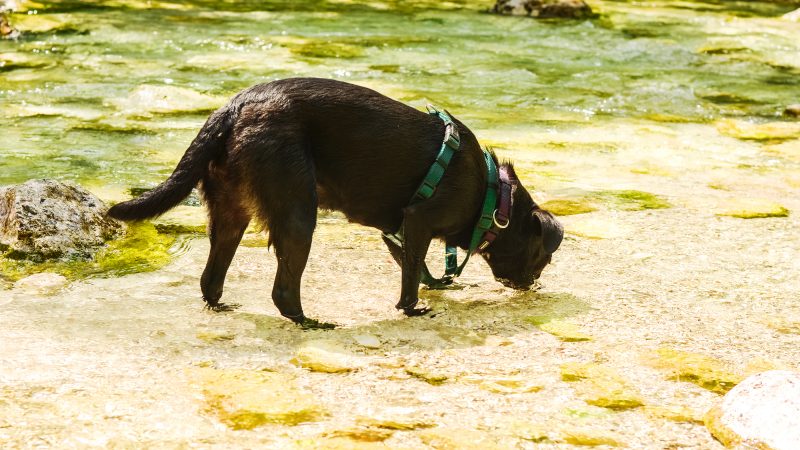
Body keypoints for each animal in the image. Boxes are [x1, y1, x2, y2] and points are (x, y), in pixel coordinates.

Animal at [108, 78, 564, 326]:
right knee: (283, 291)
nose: (533, 285)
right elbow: (411, 276)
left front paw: (436, 287)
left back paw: (223, 304)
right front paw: (412, 309)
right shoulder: (417, 221)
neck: (493, 197)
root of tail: (233, 108)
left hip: (230, 214)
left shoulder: (396, 231)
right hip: (297, 214)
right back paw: (311, 323)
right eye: (544, 257)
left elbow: (415, 268)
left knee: (211, 279)